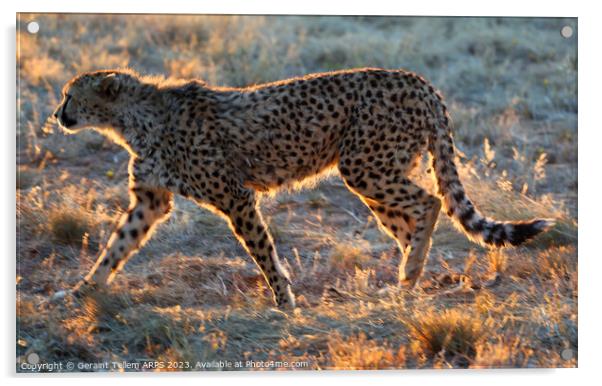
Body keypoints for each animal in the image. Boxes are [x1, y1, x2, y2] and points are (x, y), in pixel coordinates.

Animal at [54, 68, 552, 310]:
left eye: (69, 95)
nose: (58, 115)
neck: (132, 119)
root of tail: (418, 80)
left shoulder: (236, 197)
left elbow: (262, 250)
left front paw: (284, 300)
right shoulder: (150, 201)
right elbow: (115, 248)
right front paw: (81, 290)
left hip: (364, 167)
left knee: (428, 202)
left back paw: (409, 272)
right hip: (373, 175)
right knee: (409, 220)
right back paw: (406, 279)